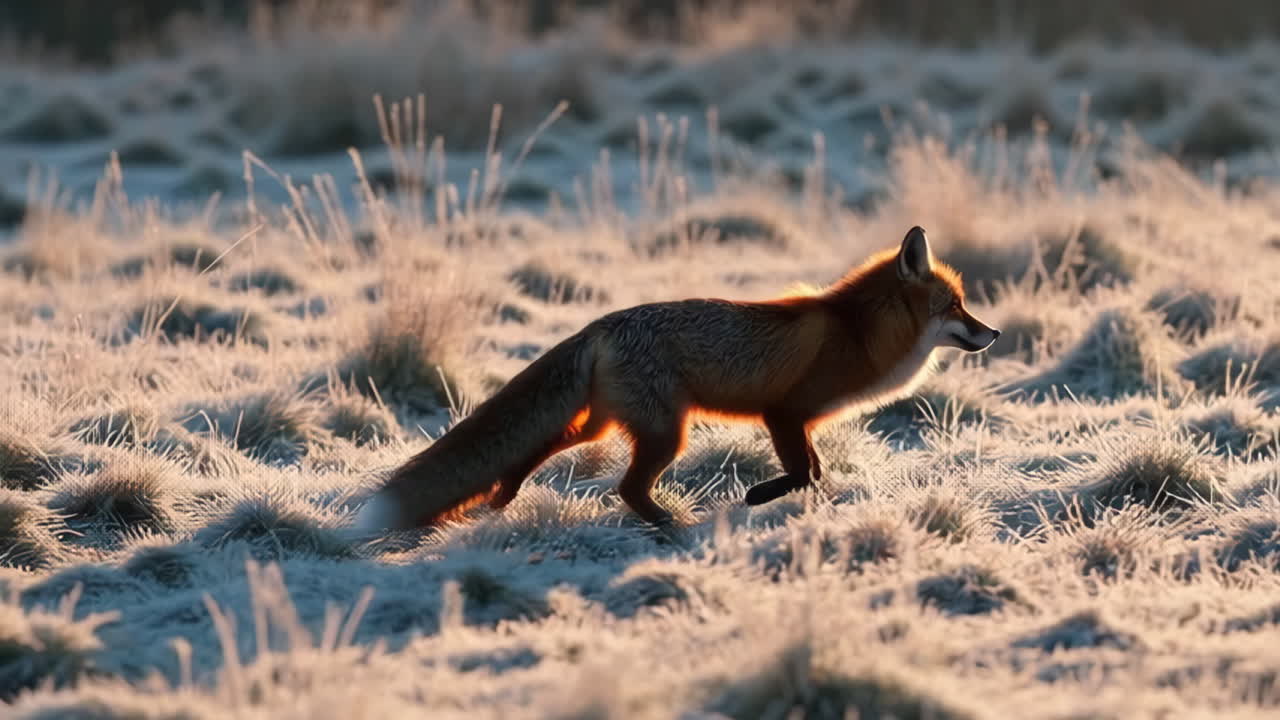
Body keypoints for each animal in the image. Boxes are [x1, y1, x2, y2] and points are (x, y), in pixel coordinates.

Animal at [350, 226, 1000, 533]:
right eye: (957, 306)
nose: (992, 332)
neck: (859, 334)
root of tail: (601, 324)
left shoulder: (801, 422)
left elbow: (813, 474)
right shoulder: (785, 413)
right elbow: (799, 473)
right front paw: (756, 498)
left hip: (612, 423)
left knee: (545, 444)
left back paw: (505, 491)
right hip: (667, 433)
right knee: (625, 488)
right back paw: (670, 525)